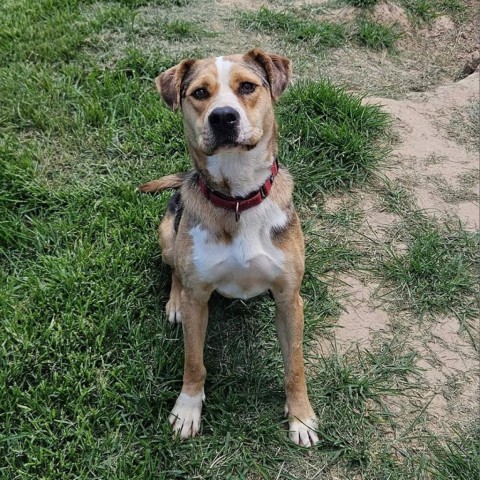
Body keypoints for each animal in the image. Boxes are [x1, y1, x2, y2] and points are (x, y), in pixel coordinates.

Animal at [139, 47, 318, 446]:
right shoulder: (199, 299)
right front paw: (188, 409)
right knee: (175, 270)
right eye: (200, 93)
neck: (237, 200)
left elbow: (295, 365)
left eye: (247, 86)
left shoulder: (289, 298)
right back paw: (174, 301)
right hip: (168, 234)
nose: (223, 117)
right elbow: (194, 362)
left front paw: (301, 417)